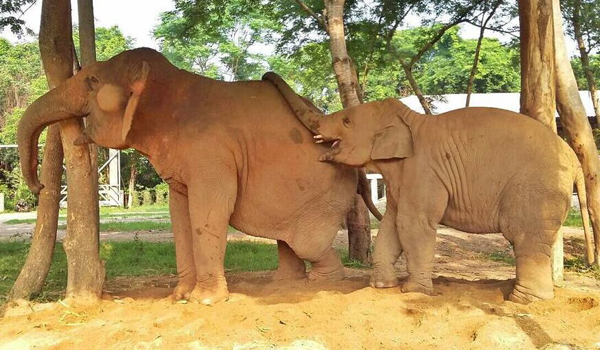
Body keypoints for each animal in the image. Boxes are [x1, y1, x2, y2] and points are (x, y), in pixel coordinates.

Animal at [21, 47, 382, 304]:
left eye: (92, 82)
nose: (39, 185)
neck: (169, 83)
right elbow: (180, 214)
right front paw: (180, 296)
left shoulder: (212, 155)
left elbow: (208, 211)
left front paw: (205, 301)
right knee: (288, 239)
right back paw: (284, 283)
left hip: (325, 192)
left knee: (309, 244)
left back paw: (322, 285)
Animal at [264, 73, 596, 304]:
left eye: (346, 121)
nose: (267, 75)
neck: (410, 120)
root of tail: (572, 157)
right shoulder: (403, 177)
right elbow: (392, 224)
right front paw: (381, 287)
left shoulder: (422, 172)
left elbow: (413, 223)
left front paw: (413, 291)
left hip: (537, 188)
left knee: (525, 237)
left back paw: (523, 301)